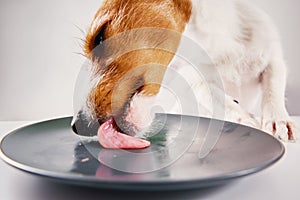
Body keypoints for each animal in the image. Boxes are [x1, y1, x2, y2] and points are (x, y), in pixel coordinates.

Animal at [71, 0, 298, 144]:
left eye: (99, 37)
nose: (76, 126)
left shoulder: (272, 57)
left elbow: (273, 88)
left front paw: (278, 121)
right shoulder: (192, 79)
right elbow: (211, 94)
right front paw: (245, 119)